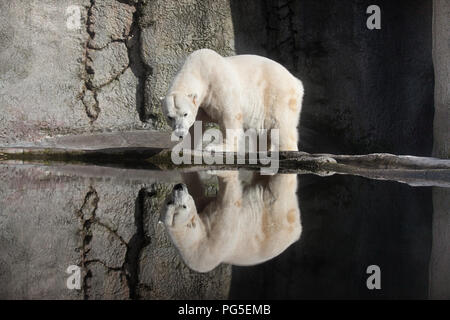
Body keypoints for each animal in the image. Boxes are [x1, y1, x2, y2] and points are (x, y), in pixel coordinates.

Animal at [160, 172, 300, 272]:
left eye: (169, 202)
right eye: (183, 207)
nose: (178, 187)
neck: (195, 243)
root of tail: (297, 232)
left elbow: (198, 193)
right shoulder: (217, 235)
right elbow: (230, 201)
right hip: (276, 214)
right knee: (278, 187)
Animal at [161, 48, 302, 151]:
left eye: (185, 114)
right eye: (170, 117)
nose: (179, 133)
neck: (199, 70)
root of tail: (296, 81)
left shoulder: (218, 85)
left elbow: (229, 115)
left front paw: (216, 147)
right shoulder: (201, 104)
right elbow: (197, 124)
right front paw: (182, 147)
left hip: (277, 96)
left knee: (281, 126)